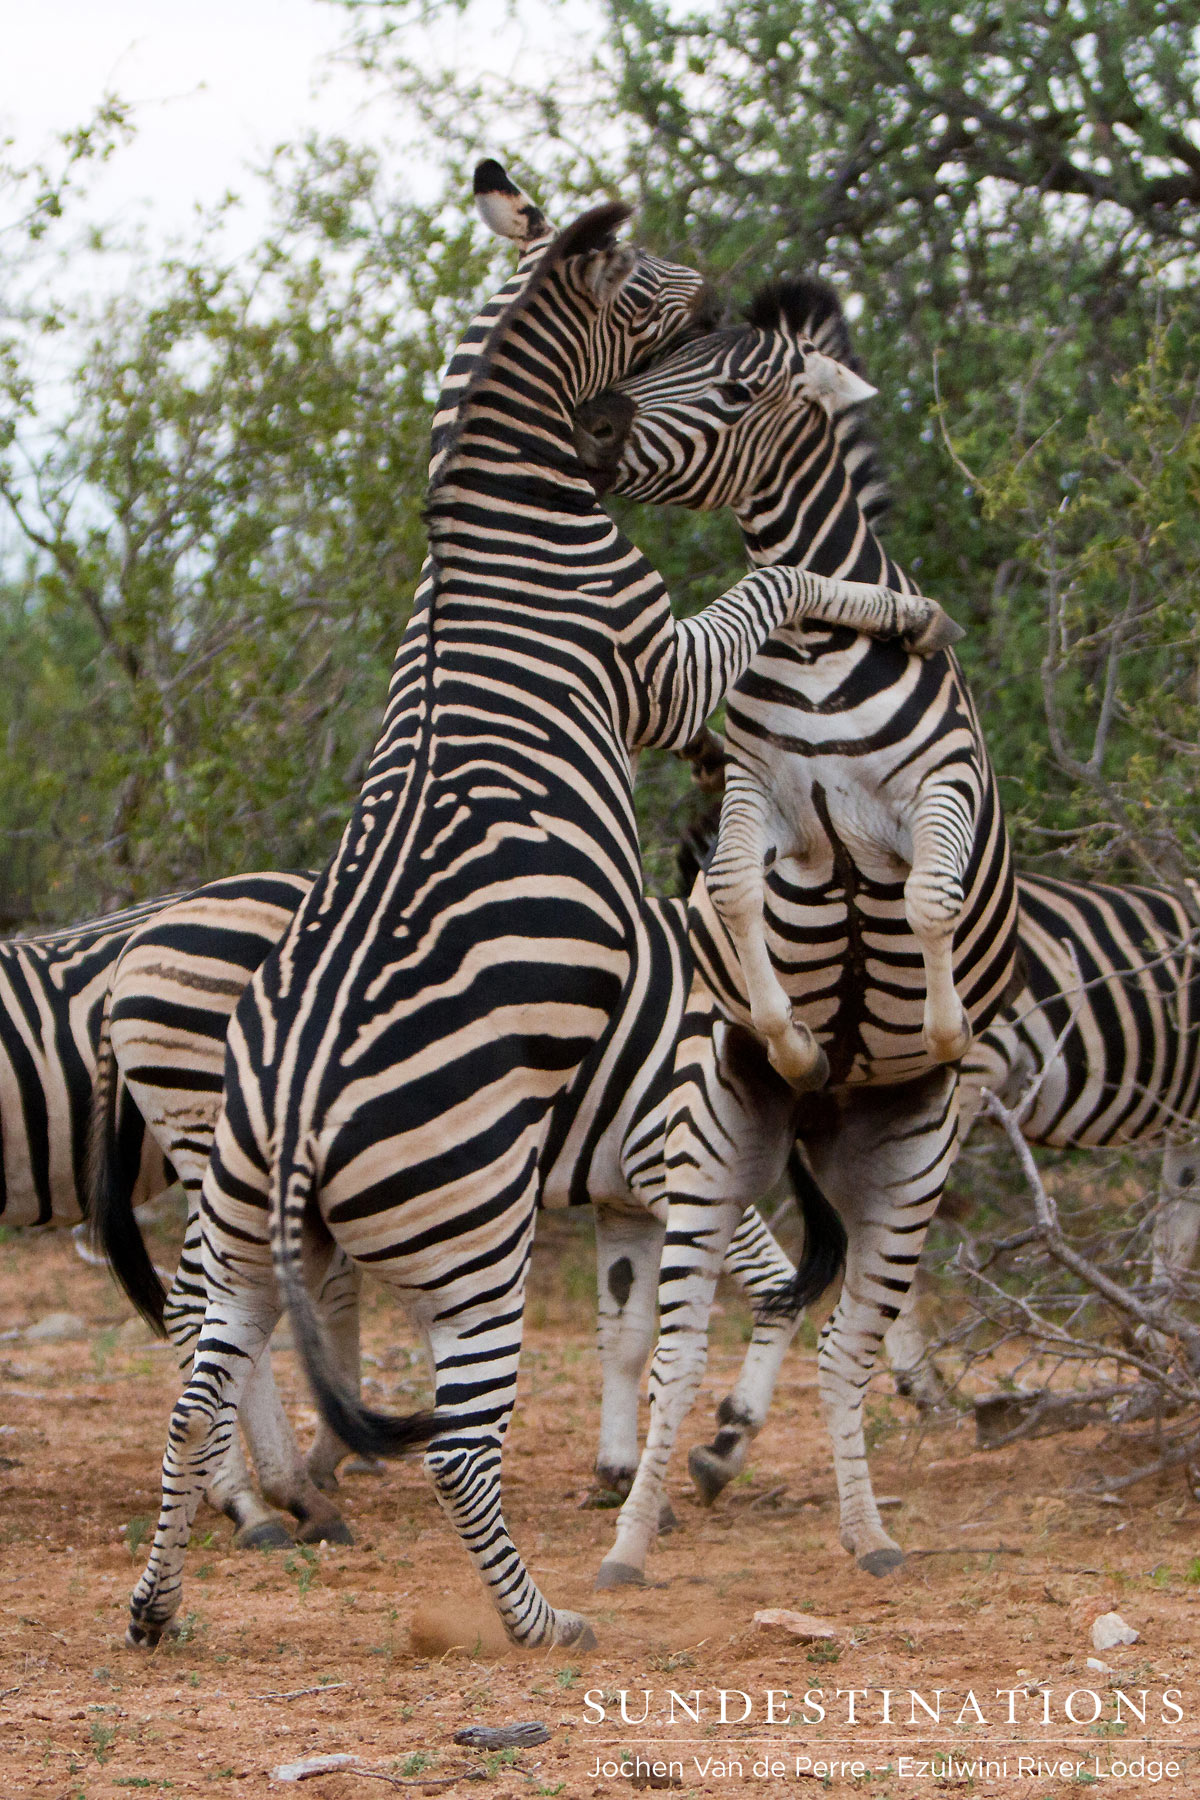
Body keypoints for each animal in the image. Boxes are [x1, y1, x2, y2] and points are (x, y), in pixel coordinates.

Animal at [122, 182, 947, 1653]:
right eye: (657, 283)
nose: (727, 281)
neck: (489, 507)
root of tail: (294, 1115)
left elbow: (649, 1321)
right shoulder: (662, 667)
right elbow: (778, 593)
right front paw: (892, 605)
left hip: (238, 1222)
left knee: (195, 1383)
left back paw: (171, 1594)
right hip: (475, 1232)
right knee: (456, 1440)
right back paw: (539, 1621)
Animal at [573, 273, 1020, 1584]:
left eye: (735, 387)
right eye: (661, 353)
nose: (594, 426)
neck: (822, 645)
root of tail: (822, 1130)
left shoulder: (939, 789)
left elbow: (927, 899)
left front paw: (942, 1022)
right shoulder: (756, 799)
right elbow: (728, 892)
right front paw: (786, 1026)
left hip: (906, 1174)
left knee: (845, 1350)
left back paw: (869, 1537)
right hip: (712, 1151)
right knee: (679, 1355)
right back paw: (628, 1543)